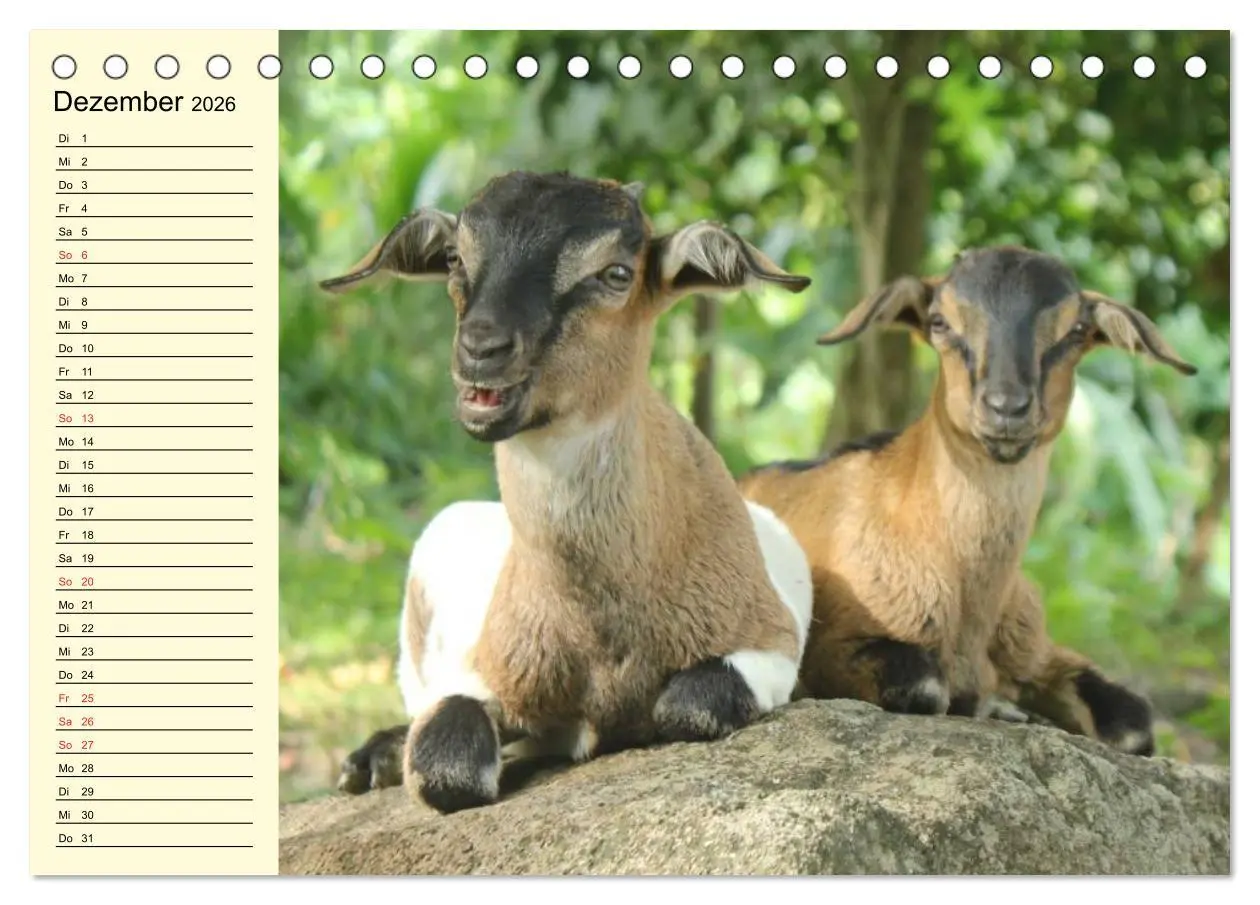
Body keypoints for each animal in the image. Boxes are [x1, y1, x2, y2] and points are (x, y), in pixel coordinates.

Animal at [318, 171, 814, 813]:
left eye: (617, 273)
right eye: (454, 257)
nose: (481, 348)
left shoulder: (768, 643)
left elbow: (690, 706)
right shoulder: (486, 670)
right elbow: (446, 765)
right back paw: (369, 762)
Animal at [738, 245, 1196, 755]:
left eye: (1076, 330)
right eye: (939, 322)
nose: (1006, 407)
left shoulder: (1036, 650)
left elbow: (1133, 721)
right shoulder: (834, 645)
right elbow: (924, 686)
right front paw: (1001, 707)